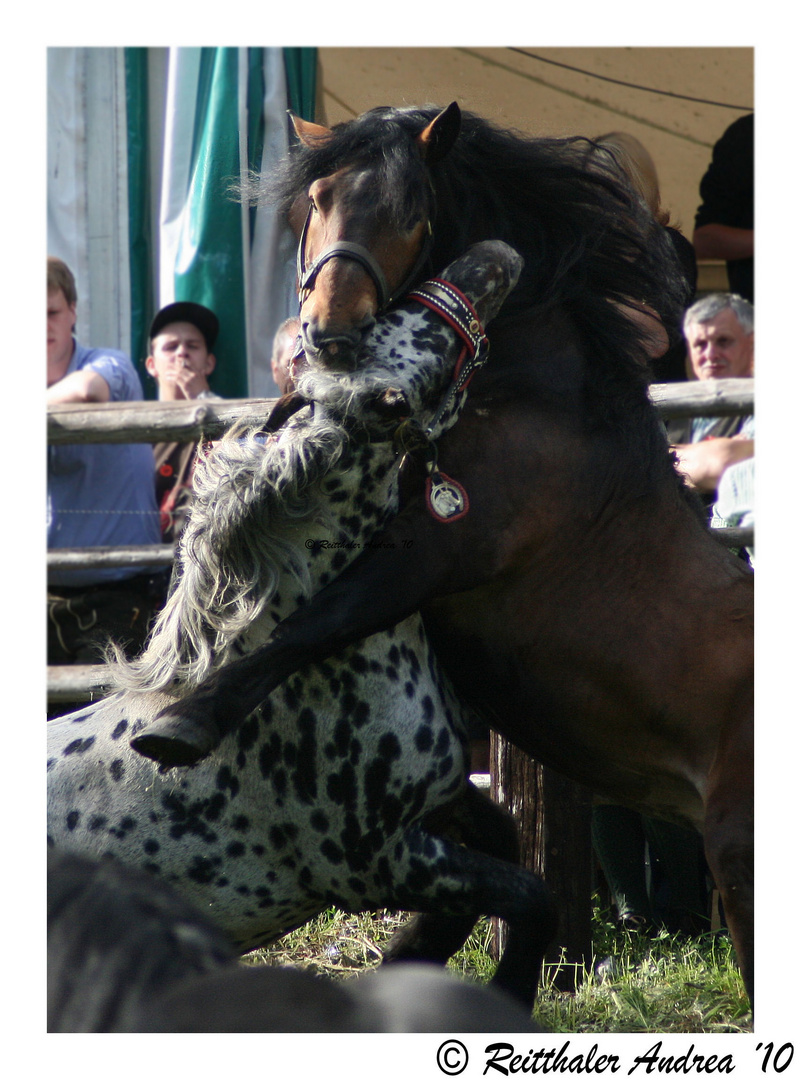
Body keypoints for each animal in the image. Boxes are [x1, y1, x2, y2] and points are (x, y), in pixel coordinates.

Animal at [45, 240, 557, 1006]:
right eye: (411, 342)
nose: (491, 256)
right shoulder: (381, 860)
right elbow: (530, 895)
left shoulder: (441, 804)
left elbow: (504, 845)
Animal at [134, 103, 755, 1002]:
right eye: (317, 198)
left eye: (410, 211)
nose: (328, 334)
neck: (526, 399)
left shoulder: (437, 556)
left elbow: (312, 623)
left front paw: (181, 723)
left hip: (736, 855)